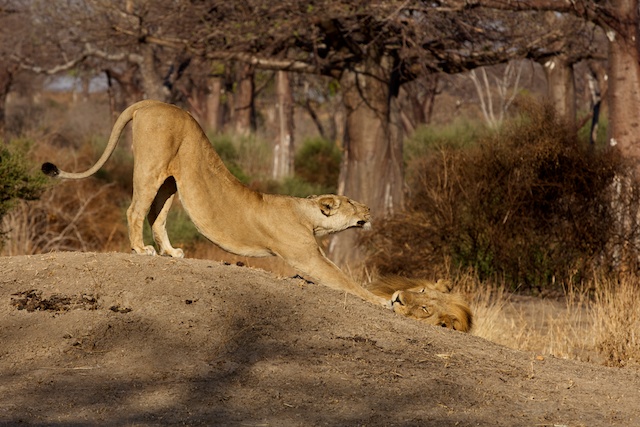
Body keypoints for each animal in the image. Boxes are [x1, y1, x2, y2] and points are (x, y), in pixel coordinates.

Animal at [42, 99, 468, 328]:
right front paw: (384, 302)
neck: (307, 214)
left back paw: (171, 253)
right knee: (135, 209)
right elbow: (347, 282)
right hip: (151, 163)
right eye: (350, 202)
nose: (370, 208)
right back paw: (141, 250)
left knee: (157, 216)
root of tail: (149, 102)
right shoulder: (307, 259)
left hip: (172, 181)